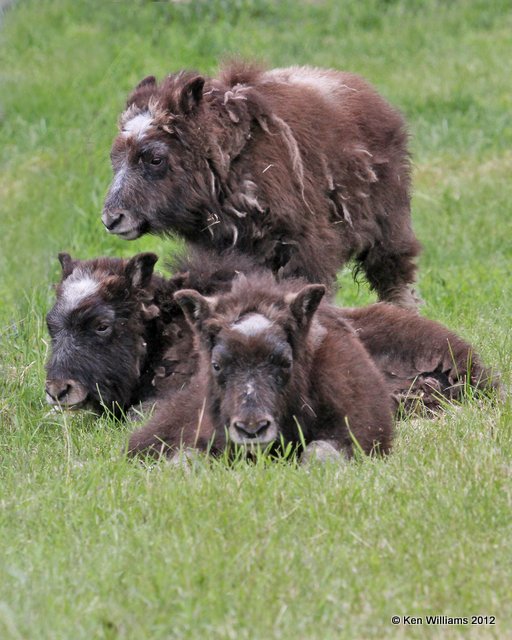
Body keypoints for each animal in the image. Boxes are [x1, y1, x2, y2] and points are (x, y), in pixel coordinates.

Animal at [103, 62, 420, 308]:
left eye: (155, 158)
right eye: (114, 157)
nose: (112, 219)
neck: (227, 159)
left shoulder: (306, 251)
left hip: (388, 232)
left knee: (397, 279)